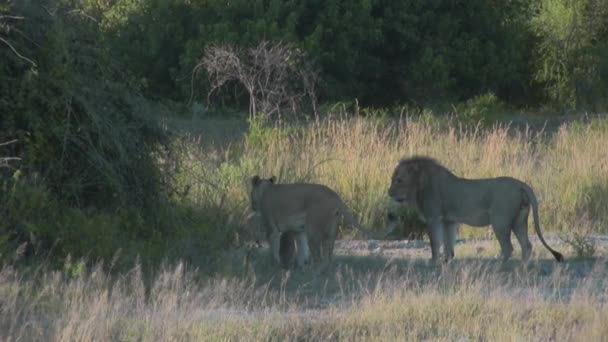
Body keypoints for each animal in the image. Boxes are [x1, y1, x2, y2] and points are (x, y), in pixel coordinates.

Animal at [249, 175, 388, 272]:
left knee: (320, 259)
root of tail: (336, 196)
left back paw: (313, 272)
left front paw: (274, 265)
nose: (252, 206)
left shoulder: (271, 228)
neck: (266, 189)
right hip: (331, 232)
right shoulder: (298, 231)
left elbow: (273, 248)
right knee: (328, 258)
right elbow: (301, 250)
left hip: (313, 230)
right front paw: (300, 268)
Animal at [390, 156, 564, 264]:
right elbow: (448, 244)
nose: (389, 192)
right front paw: (447, 261)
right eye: (393, 179)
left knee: (509, 247)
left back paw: (499, 266)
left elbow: (435, 244)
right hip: (519, 221)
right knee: (526, 246)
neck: (419, 185)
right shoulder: (448, 221)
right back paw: (522, 267)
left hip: (500, 222)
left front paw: (433, 262)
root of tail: (521, 184)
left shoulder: (434, 218)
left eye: (399, 180)